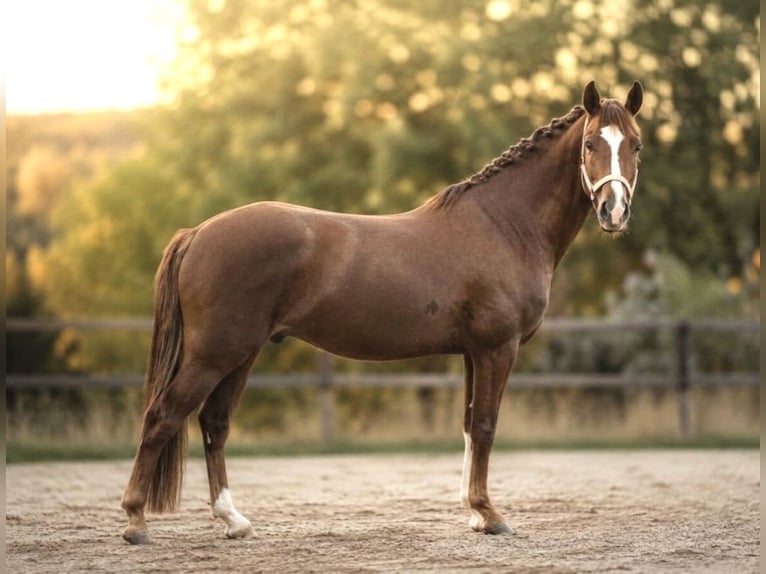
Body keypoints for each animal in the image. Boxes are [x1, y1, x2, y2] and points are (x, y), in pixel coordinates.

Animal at [121, 80, 644, 544]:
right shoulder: (498, 348)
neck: (504, 224)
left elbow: (469, 427)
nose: (614, 211)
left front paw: (474, 513)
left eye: (636, 145)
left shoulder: (472, 353)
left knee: (214, 424)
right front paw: (491, 516)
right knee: (163, 416)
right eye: (591, 143)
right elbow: (486, 426)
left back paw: (234, 521)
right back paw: (135, 522)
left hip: (241, 354)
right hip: (215, 353)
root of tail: (197, 233)